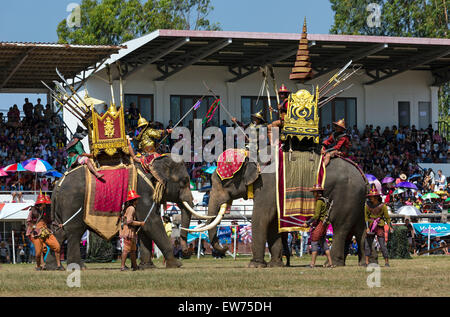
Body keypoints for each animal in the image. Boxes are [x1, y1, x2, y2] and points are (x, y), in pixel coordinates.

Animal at [45, 156, 200, 270]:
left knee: (60, 231)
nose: (187, 251)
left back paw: (53, 267)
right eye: (185, 181)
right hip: (73, 202)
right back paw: (78, 267)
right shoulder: (143, 192)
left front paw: (147, 267)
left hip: (62, 206)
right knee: (74, 232)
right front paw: (176, 265)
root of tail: (58, 183)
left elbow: (144, 225)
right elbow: (152, 223)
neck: (151, 164)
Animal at [199, 153, 368, 266]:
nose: (226, 246)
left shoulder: (267, 187)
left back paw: (331, 264)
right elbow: (273, 223)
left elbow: (261, 219)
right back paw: (362, 263)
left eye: (225, 183)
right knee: (359, 228)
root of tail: (362, 174)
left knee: (341, 227)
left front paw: (255, 265)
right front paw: (275, 265)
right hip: (357, 199)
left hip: (346, 194)